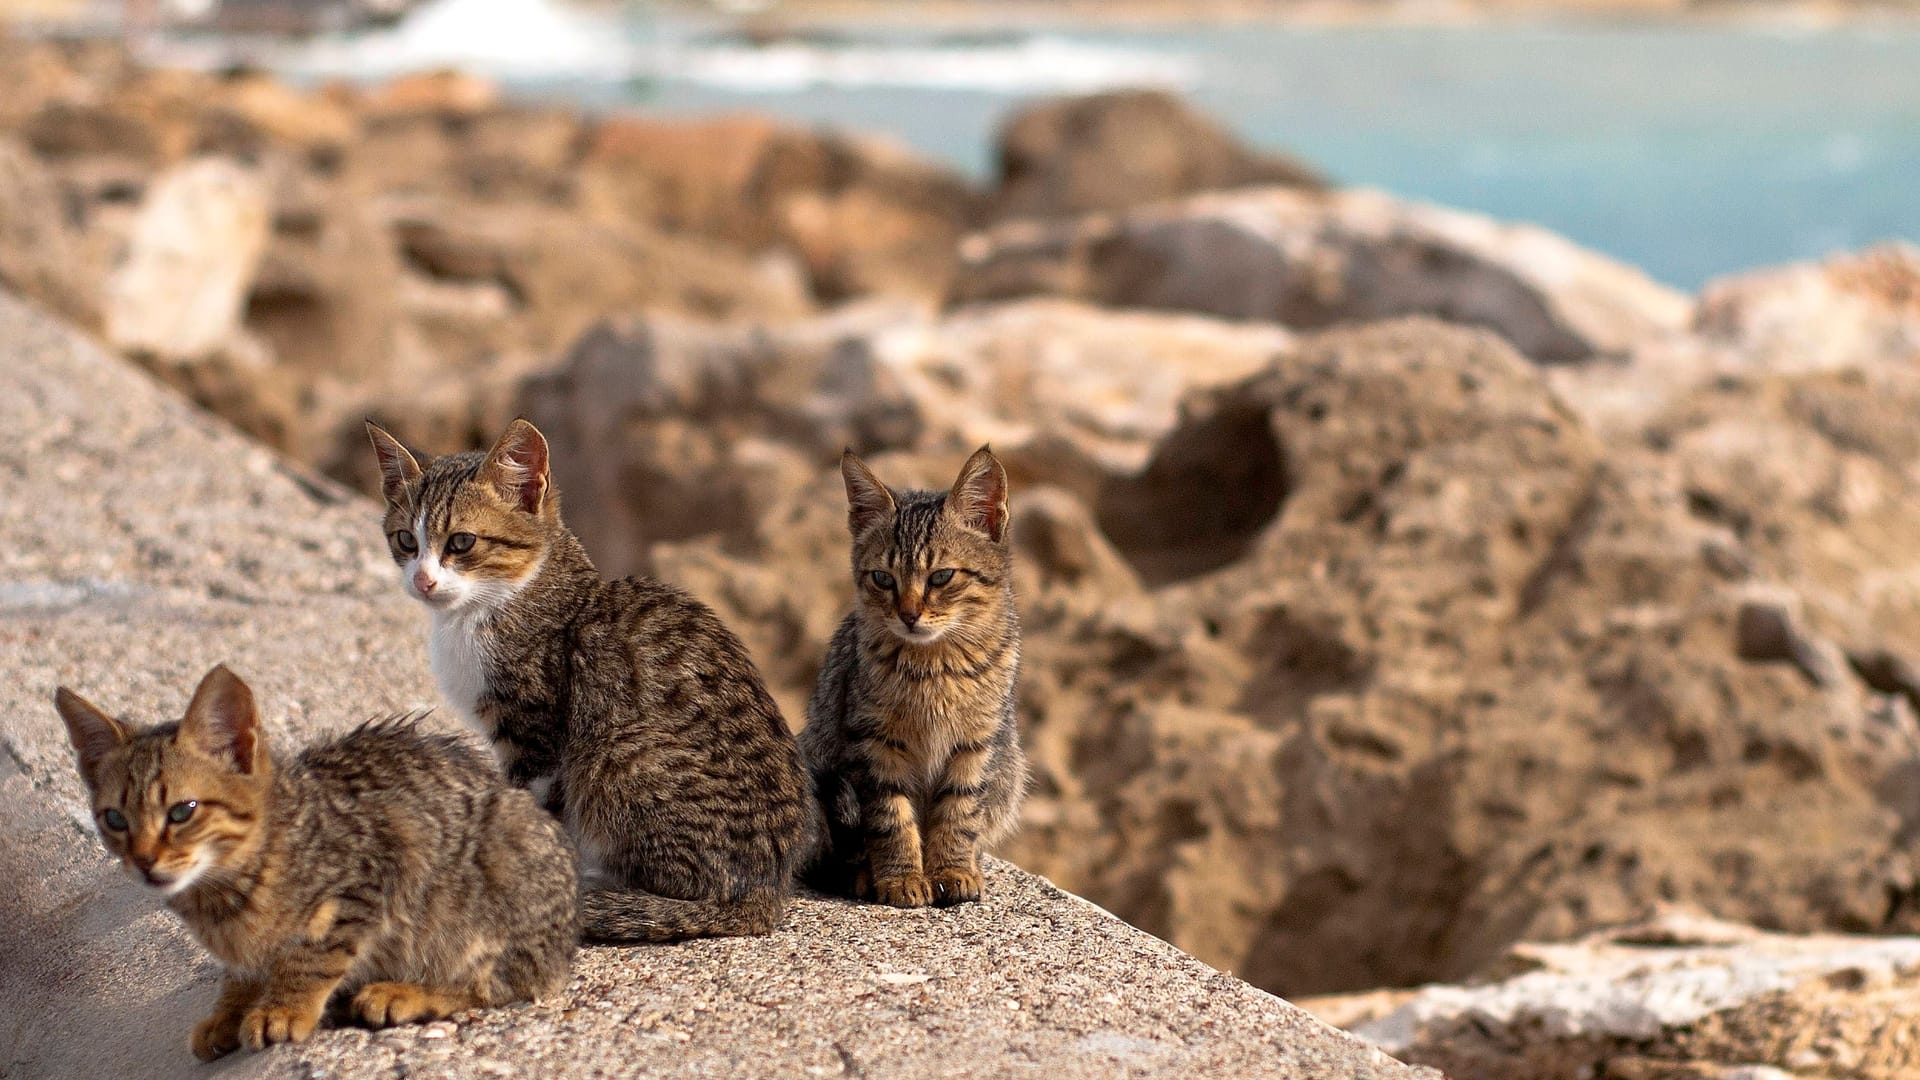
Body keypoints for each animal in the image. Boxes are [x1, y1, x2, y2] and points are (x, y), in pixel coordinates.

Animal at [54, 661, 576, 1053]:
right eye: (115, 819)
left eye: (182, 811)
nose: (143, 861)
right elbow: (241, 972)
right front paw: (230, 1009)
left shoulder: (367, 875)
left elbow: (312, 954)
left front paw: (284, 1007)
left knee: (506, 982)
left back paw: (404, 993)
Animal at [362, 417, 814, 937]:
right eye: (406, 541)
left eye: (461, 542)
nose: (423, 581)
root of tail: (766, 890)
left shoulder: (536, 733)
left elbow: (535, 806)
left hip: (617, 753)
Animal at [798, 447, 1029, 907]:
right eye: (882, 578)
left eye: (941, 576)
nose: (908, 614)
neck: (935, 664)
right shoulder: (874, 743)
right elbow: (891, 818)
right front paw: (901, 877)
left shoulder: (977, 742)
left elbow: (959, 812)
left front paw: (952, 869)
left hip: (1009, 770)